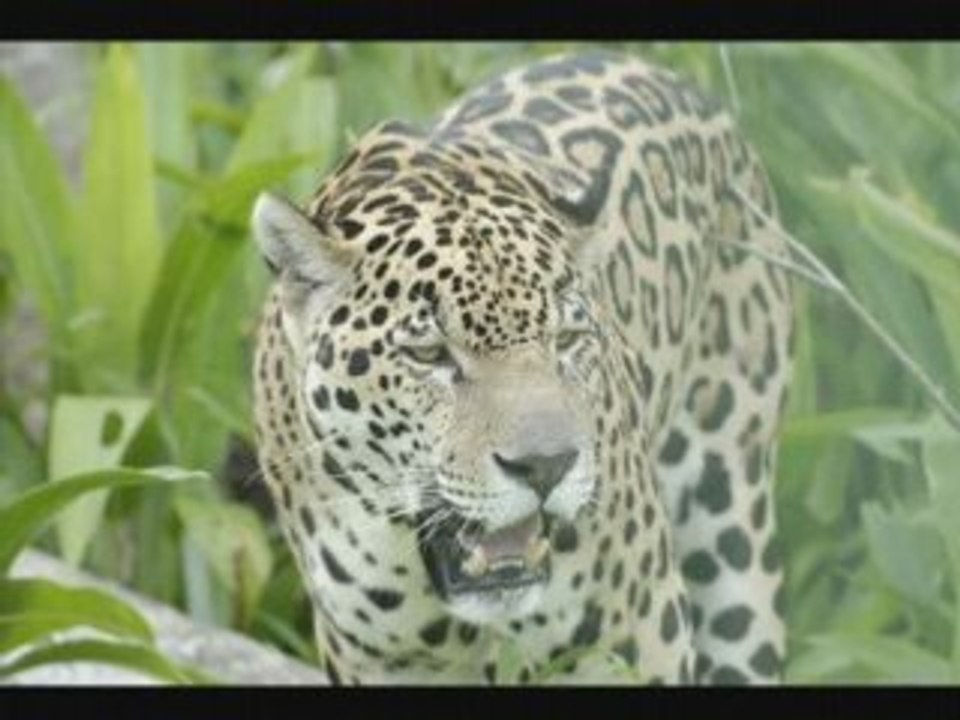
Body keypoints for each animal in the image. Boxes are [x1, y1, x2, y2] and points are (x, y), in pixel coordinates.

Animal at [251, 50, 793, 685]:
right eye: (430, 353)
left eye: (567, 340)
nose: (545, 467)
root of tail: (667, 75)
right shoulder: (375, 656)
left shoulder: (642, 633)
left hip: (732, 515)